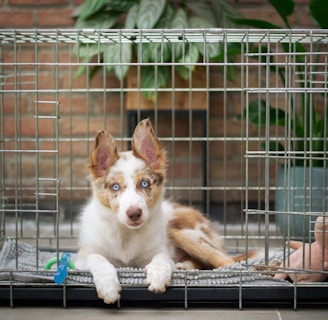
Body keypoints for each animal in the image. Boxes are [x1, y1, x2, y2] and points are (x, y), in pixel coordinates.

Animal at [77, 119, 241, 304]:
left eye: (145, 183)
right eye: (115, 187)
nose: (134, 213)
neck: (126, 234)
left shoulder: (159, 250)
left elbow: (161, 257)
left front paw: (158, 276)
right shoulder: (82, 256)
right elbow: (97, 258)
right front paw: (108, 286)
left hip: (184, 231)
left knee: (226, 260)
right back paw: (183, 266)